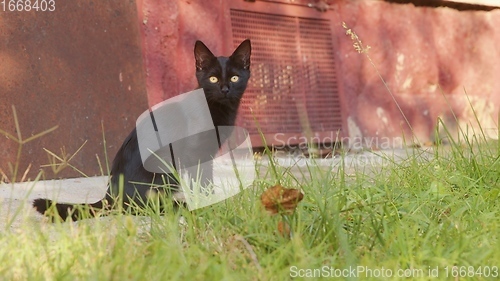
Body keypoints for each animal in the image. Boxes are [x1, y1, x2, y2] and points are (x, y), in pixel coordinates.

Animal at [32, 38, 250, 219]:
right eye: (213, 79)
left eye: (234, 78)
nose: (225, 89)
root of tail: (111, 195)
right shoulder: (195, 153)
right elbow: (202, 181)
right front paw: (208, 205)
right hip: (164, 166)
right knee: (140, 206)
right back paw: (177, 206)